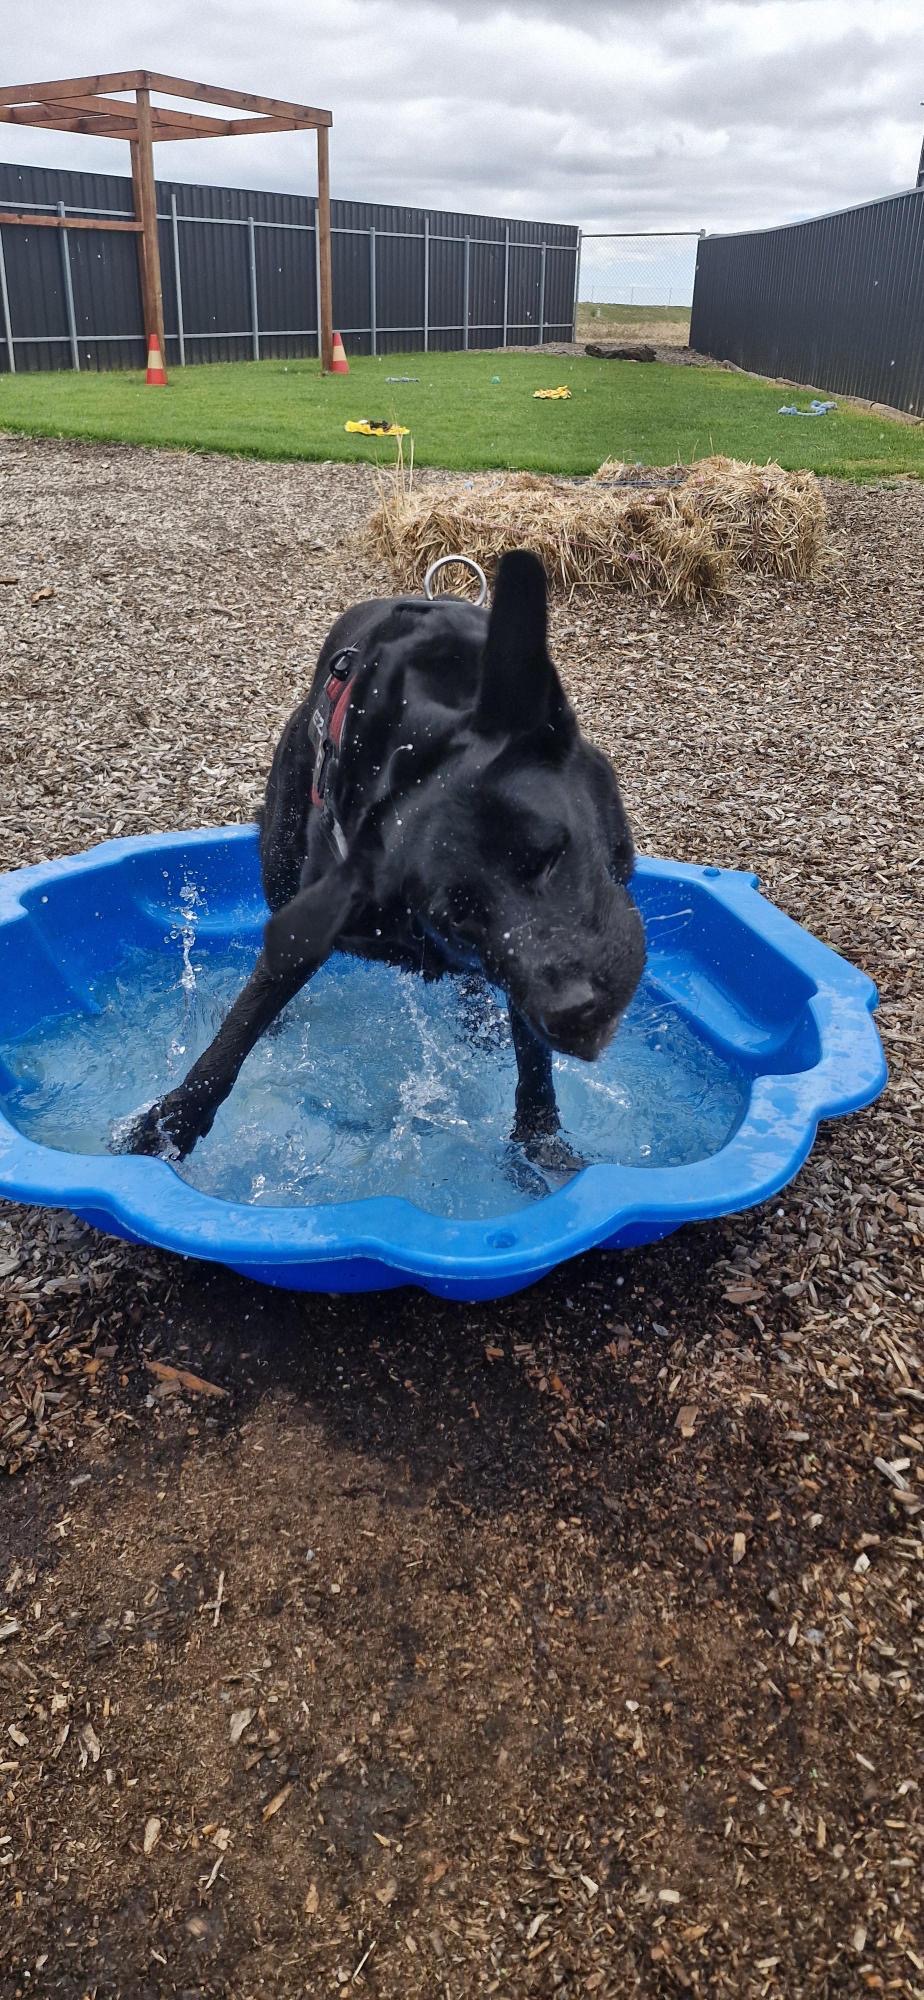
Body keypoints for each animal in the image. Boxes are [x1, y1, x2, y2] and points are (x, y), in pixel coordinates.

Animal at [123, 550, 646, 1170]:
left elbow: (532, 1056)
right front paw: (173, 1123)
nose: (576, 1011)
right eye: (456, 916)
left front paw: (538, 1140)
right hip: (281, 845)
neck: (426, 741)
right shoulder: (320, 911)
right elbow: (242, 1024)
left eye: (551, 854)